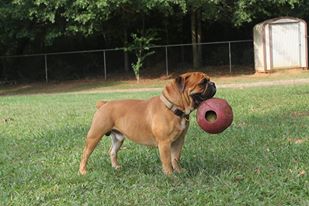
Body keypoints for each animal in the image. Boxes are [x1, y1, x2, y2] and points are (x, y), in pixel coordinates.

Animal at [78, 71, 215, 175]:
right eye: (202, 83)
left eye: (208, 80)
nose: (212, 83)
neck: (172, 107)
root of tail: (104, 104)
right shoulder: (164, 143)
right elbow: (167, 160)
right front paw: (170, 175)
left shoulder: (178, 141)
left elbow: (175, 158)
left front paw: (179, 171)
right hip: (94, 136)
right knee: (85, 154)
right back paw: (83, 171)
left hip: (118, 138)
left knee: (112, 151)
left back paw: (116, 167)